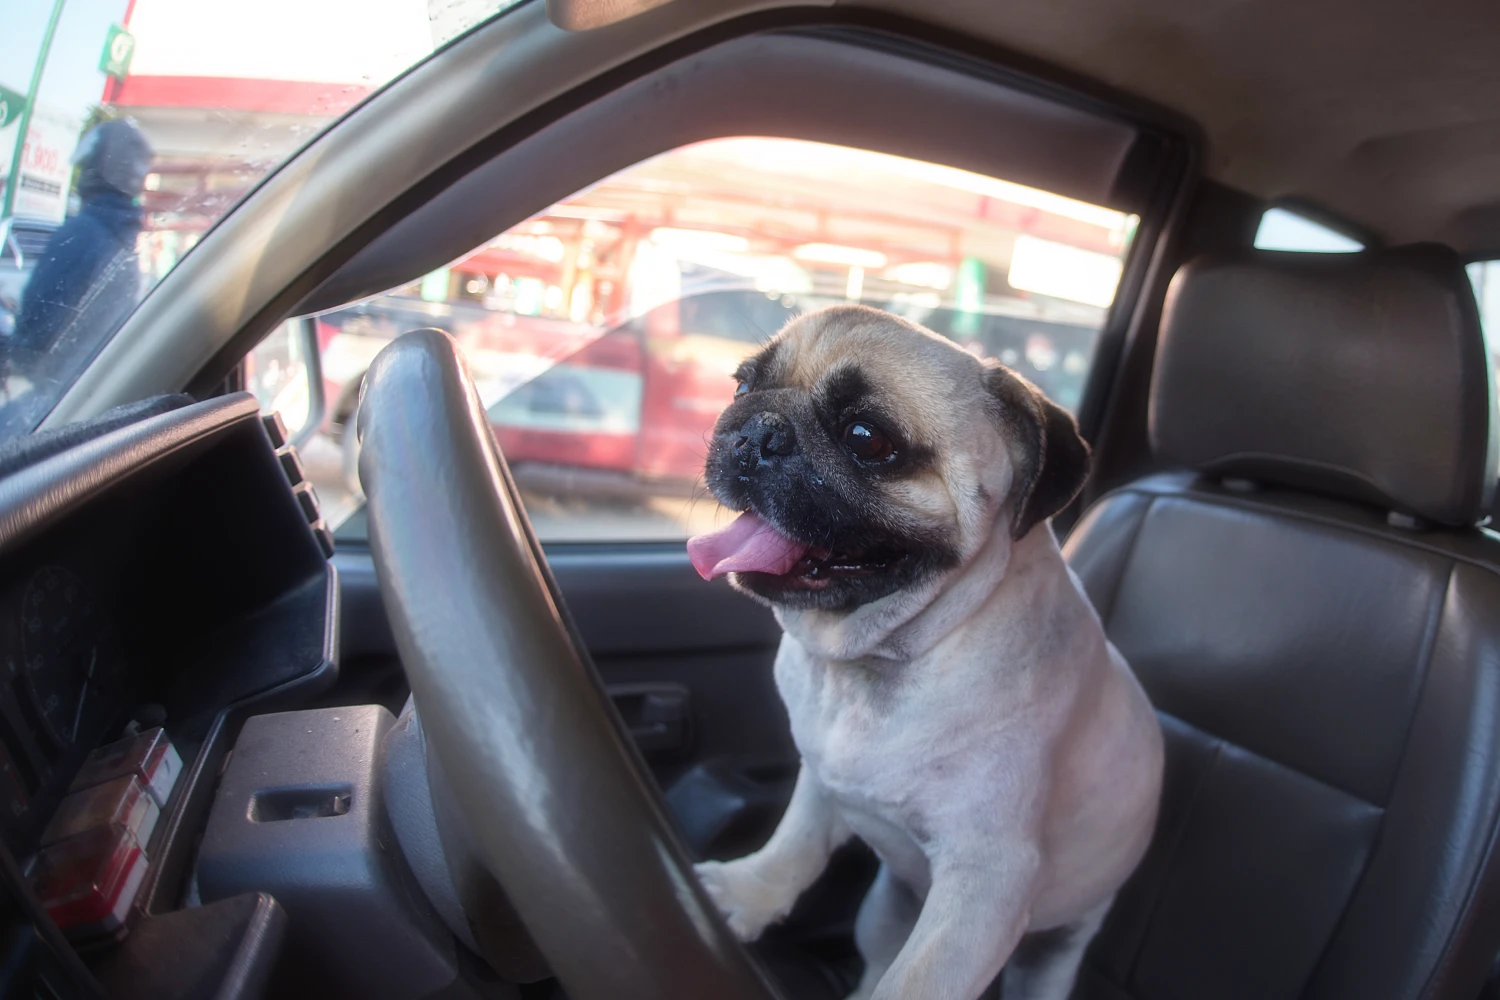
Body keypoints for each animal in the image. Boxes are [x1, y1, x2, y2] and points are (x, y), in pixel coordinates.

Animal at [687, 307, 1164, 1000]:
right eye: (742, 387)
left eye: (866, 438)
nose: (757, 430)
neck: (871, 661)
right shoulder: (822, 780)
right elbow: (795, 845)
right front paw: (749, 893)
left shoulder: (985, 885)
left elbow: (917, 980)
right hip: (884, 913)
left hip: (1054, 952)